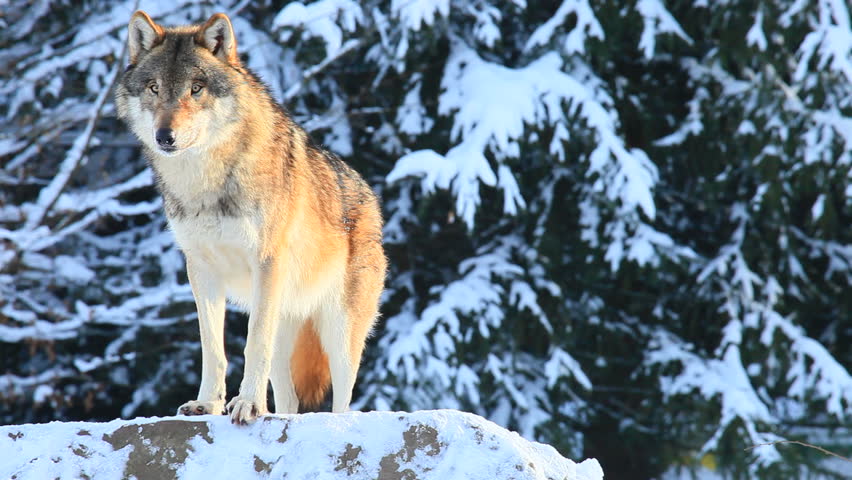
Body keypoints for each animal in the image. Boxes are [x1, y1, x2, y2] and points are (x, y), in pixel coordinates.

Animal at [115, 10, 386, 424]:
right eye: (154, 88)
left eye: (196, 88)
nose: (165, 136)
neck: (207, 181)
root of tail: (371, 197)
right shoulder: (201, 270)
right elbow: (214, 348)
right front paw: (207, 404)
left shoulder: (266, 263)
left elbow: (252, 344)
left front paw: (248, 405)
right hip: (287, 326)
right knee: (289, 398)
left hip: (339, 329)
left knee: (344, 395)